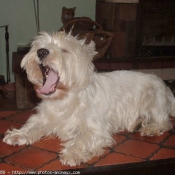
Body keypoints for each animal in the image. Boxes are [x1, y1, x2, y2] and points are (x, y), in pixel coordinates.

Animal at [3, 31, 175, 165]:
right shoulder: (44, 117)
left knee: (164, 122)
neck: (64, 99)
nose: (41, 52)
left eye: (64, 50)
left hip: (153, 100)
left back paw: (150, 128)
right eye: (38, 46)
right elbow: (32, 125)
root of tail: (166, 86)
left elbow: (81, 140)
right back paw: (138, 123)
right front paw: (18, 135)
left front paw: (72, 154)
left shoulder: (95, 129)